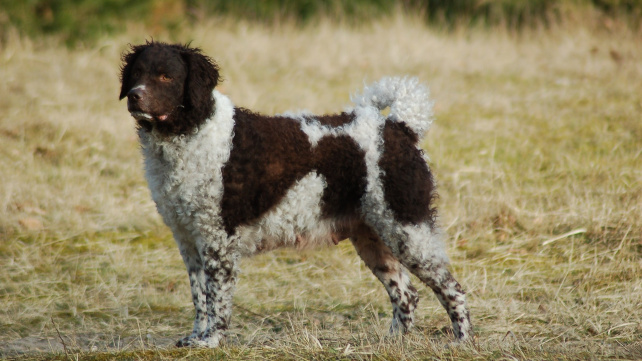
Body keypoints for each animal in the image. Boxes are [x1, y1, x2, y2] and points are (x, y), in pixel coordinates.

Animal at [119, 40, 470, 348]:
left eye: (166, 76)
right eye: (137, 73)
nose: (134, 97)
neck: (193, 131)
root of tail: (399, 126)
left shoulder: (218, 240)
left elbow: (217, 300)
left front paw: (211, 341)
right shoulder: (189, 240)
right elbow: (200, 298)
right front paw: (196, 337)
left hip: (407, 231)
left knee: (452, 288)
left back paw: (463, 342)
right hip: (374, 238)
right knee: (406, 295)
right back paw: (393, 342)